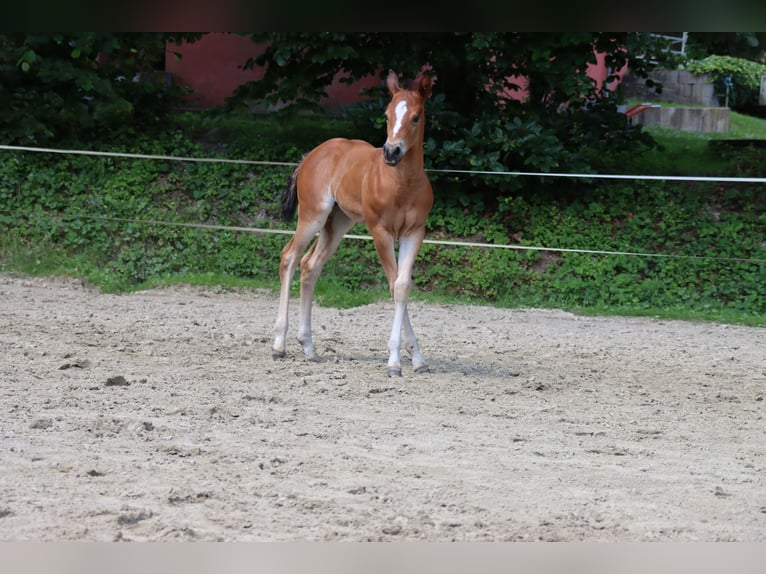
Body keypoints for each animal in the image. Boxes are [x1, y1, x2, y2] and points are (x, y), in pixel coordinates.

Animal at [272, 68, 436, 378]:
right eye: (386, 114)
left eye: (416, 116)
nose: (391, 152)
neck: (402, 184)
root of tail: (310, 156)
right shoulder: (380, 232)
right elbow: (393, 284)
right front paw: (394, 362)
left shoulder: (414, 233)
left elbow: (403, 285)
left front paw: (418, 359)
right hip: (313, 215)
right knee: (289, 256)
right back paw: (278, 344)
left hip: (337, 223)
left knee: (310, 265)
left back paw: (309, 348)